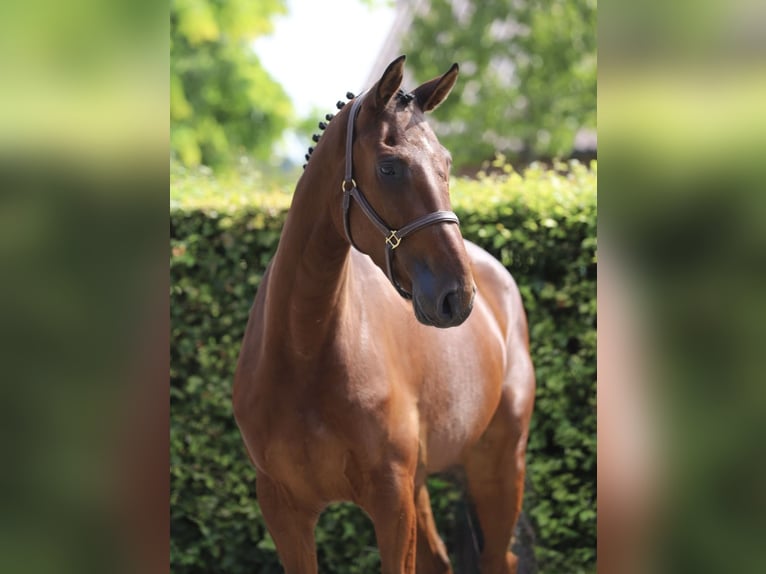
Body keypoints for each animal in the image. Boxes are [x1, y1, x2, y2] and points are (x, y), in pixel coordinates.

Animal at [233, 55, 535, 574]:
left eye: (447, 164)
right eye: (390, 166)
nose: (457, 296)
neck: (304, 353)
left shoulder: (391, 503)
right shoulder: (283, 509)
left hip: (498, 468)